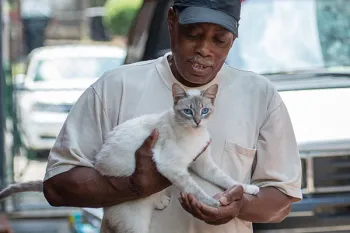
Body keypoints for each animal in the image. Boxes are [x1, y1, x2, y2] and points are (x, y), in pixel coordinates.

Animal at [0, 83, 258, 232]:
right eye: (187, 111)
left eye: (204, 111)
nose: (196, 121)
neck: (193, 135)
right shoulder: (172, 166)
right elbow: (196, 188)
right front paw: (213, 204)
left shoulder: (201, 163)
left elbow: (225, 179)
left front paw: (248, 189)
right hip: (136, 222)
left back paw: (161, 200)